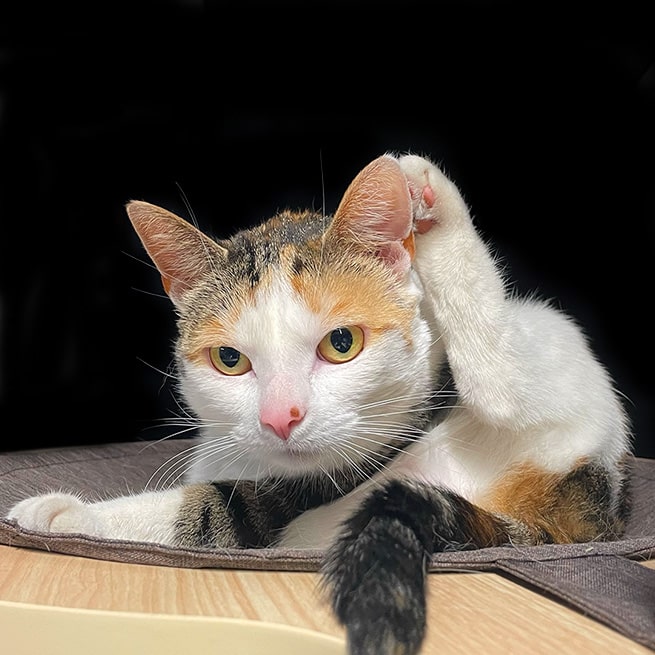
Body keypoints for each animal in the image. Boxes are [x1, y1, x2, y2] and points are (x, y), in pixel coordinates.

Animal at [6, 151, 632, 652]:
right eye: (229, 359)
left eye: (341, 343)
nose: (279, 417)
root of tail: (597, 497)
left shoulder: (305, 485)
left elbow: (208, 513)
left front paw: (63, 514)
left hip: (545, 356)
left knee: (502, 385)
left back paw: (433, 201)